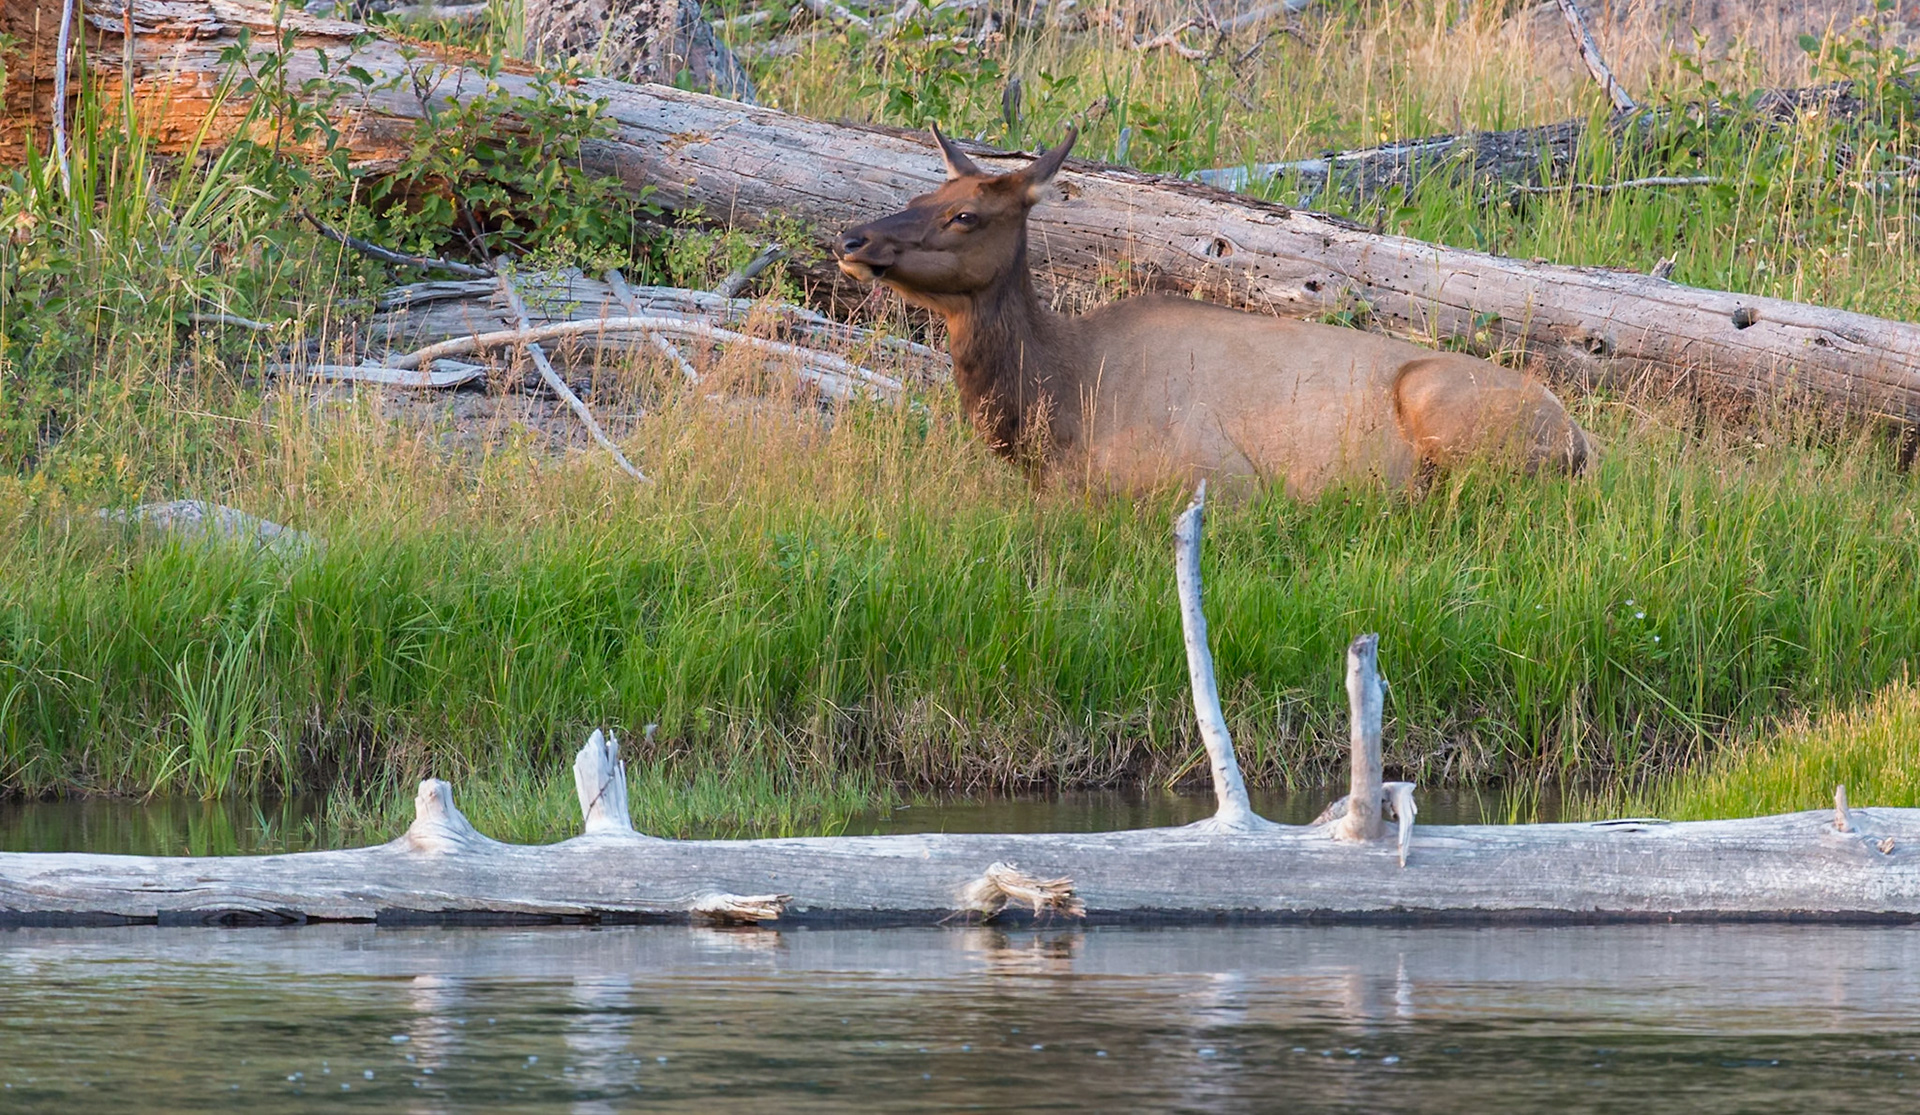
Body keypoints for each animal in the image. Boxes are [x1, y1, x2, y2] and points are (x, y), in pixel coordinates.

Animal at [836, 127, 1593, 496]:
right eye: (926, 193)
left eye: (966, 214)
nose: (852, 238)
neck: (1059, 402)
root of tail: (1580, 439)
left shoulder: (1218, 479)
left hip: (1448, 412)